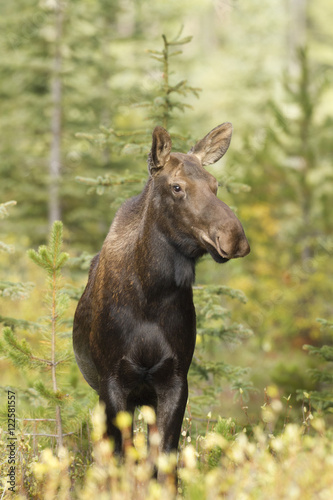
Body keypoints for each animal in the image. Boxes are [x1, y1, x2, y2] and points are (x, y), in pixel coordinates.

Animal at [72, 122, 249, 458]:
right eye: (177, 187)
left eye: (215, 184)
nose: (234, 237)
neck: (151, 295)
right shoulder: (113, 380)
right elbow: (124, 455)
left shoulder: (175, 378)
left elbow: (164, 456)